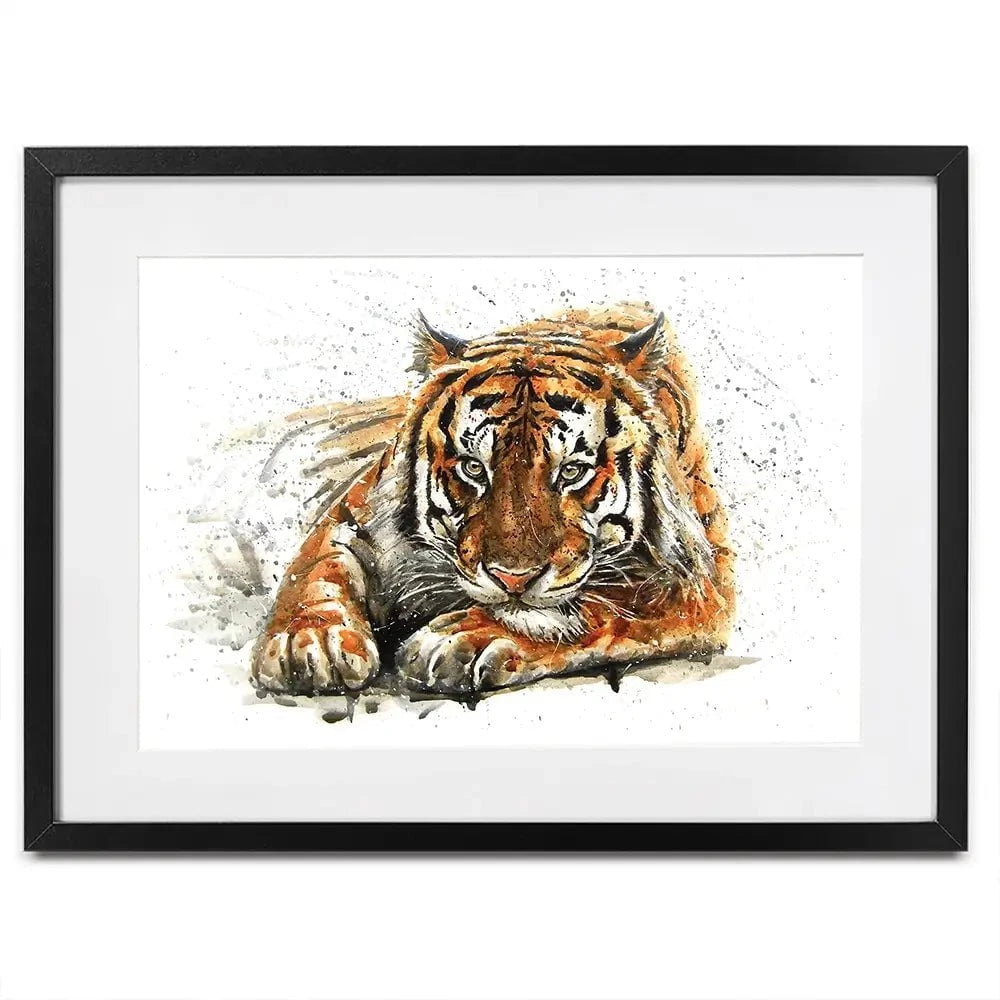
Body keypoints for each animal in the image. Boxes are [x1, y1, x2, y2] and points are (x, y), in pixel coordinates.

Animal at [251, 303, 735, 698]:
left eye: (572, 472)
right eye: (473, 468)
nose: (512, 579)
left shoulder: (697, 579)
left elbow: (601, 606)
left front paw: (465, 638)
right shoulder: (355, 511)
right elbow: (316, 569)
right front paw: (309, 641)